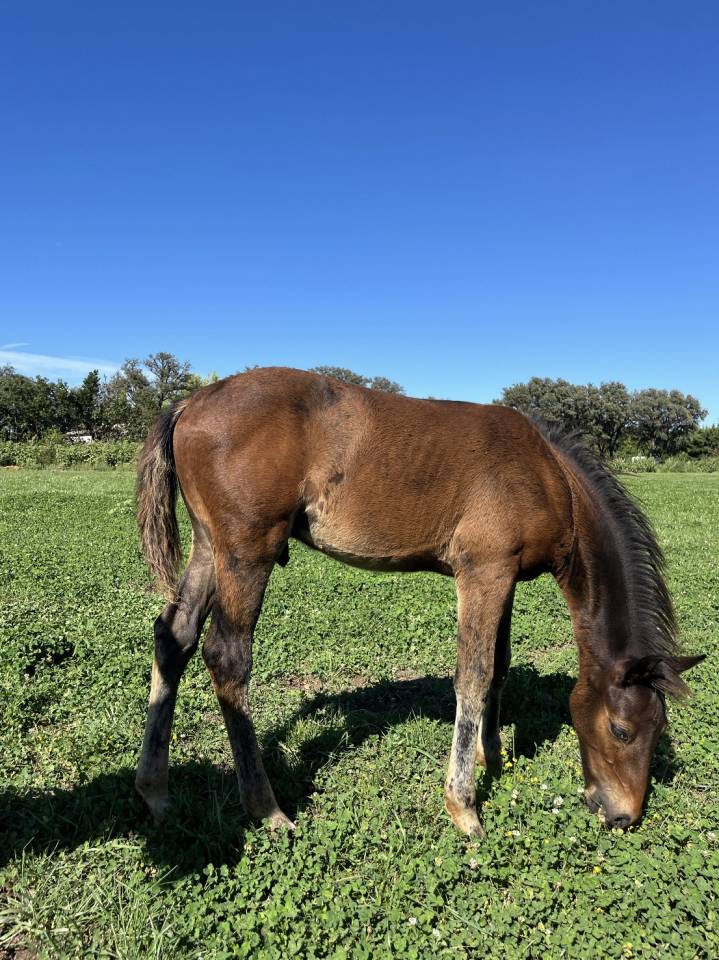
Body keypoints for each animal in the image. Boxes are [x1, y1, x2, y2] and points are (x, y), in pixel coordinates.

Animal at [134, 366, 704, 836]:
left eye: (659, 728)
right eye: (622, 730)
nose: (623, 815)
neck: (551, 477)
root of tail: (190, 403)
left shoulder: (505, 576)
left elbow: (499, 667)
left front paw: (492, 756)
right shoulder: (482, 571)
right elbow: (473, 676)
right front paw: (464, 807)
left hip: (209, 547)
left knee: (174, 638)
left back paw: (155, 793)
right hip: (247, 551)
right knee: (226, 657)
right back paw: (266, 808)